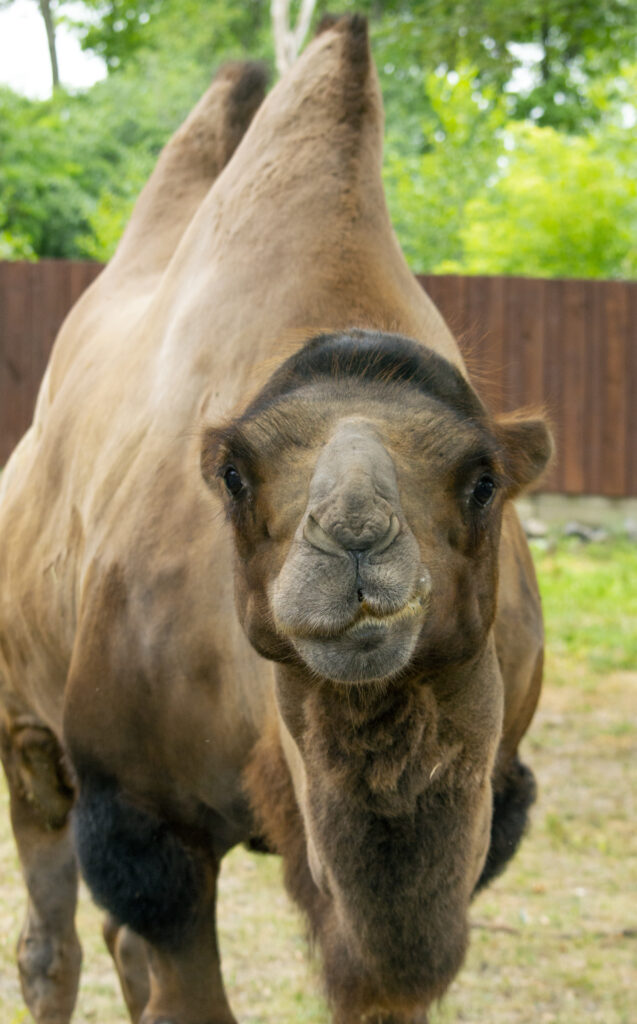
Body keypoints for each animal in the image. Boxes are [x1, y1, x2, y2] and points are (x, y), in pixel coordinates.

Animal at [0, 16, 552, 1024]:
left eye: (482, 480)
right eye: (234, 474)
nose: (357, 538)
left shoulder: (487, 812)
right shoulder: (145, 820)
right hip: (31, 728)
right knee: (52, 938)